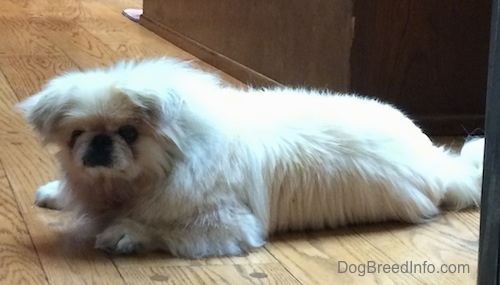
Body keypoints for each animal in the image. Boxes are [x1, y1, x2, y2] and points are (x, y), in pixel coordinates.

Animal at [18, 57, 484, 258]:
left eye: (130, 133)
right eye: (76, 135)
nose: (98, 143)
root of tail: (438, 163)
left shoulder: (224, 225)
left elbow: (164, 229)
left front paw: (125, 233)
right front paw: (57, 193)